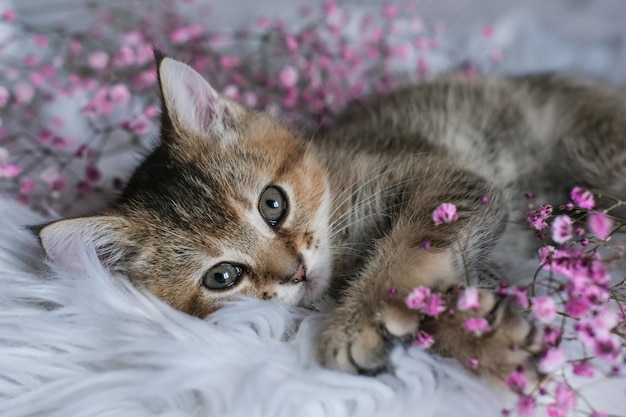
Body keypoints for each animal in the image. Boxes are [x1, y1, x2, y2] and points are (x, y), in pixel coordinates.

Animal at [35, 52, 624, 384]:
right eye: (222, 276)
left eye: (273, 203)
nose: (294, 270)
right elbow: (443, 301)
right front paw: (498, 348)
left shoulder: (451, 180)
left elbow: (410, 247)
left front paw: (360, 319)